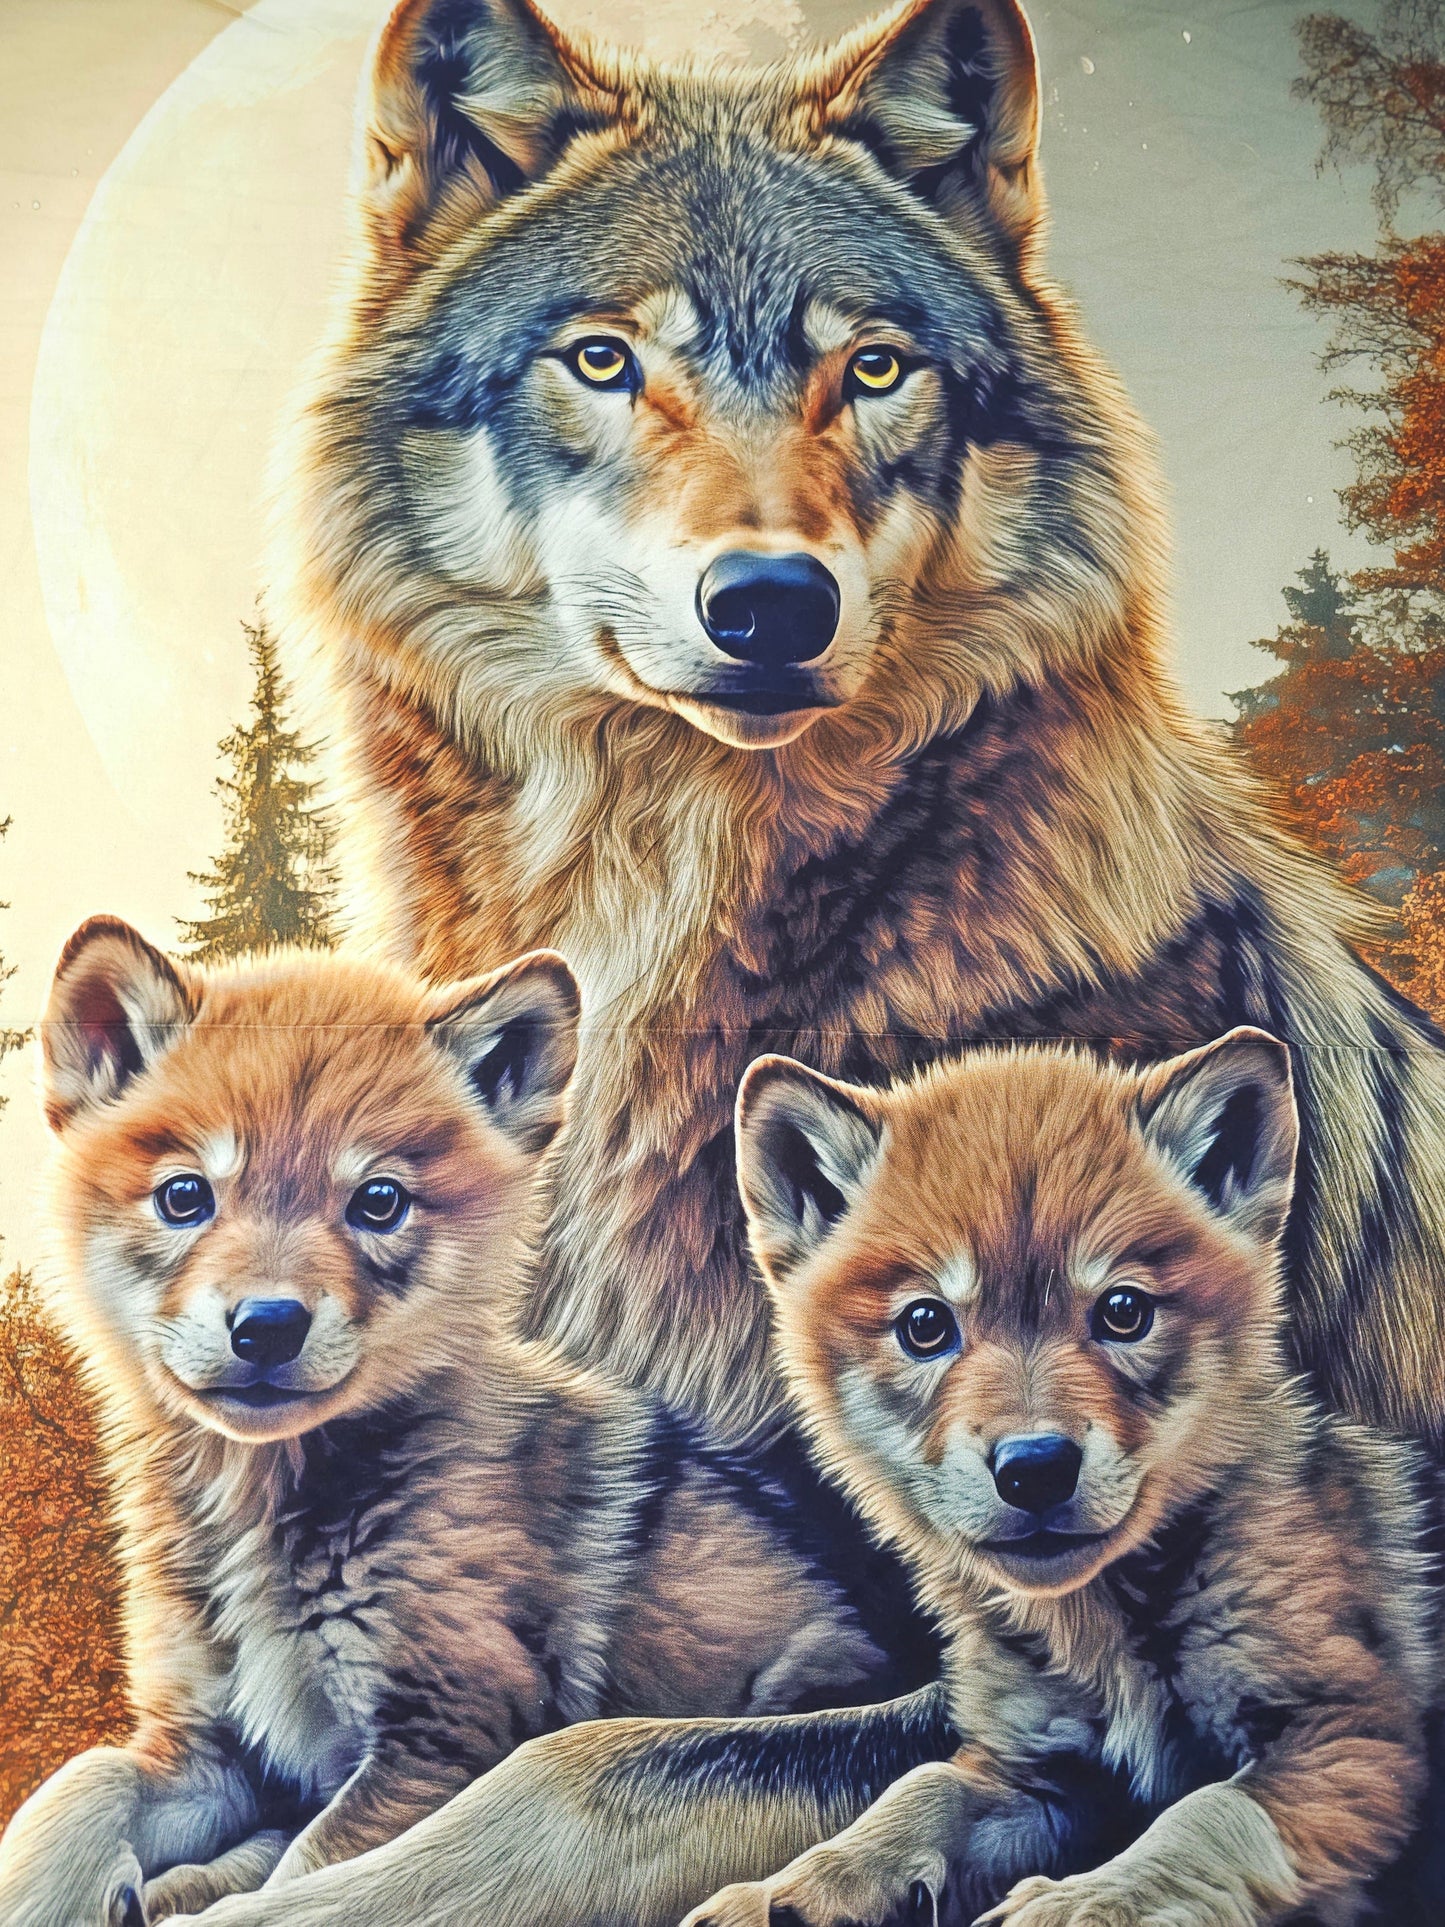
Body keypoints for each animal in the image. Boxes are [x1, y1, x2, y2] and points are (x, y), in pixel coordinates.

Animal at [2, 920, 908, 1927]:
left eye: (378, 1201)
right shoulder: (203, 1746)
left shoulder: (440, 1733)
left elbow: (316, 1864)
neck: (268, 1509)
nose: (266, 1324)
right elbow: (81, 1785)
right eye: (185, 1195)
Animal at [681, 1032, 1438, 1926]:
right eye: (925, 1324)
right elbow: (921, 1788)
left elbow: (1203, 1815)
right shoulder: (1035, 1772)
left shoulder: (1350, 1739)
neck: (1101, 1629)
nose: (1034, 1467)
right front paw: (790, 1887)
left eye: (1123, 1311)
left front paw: (1082, 1901)